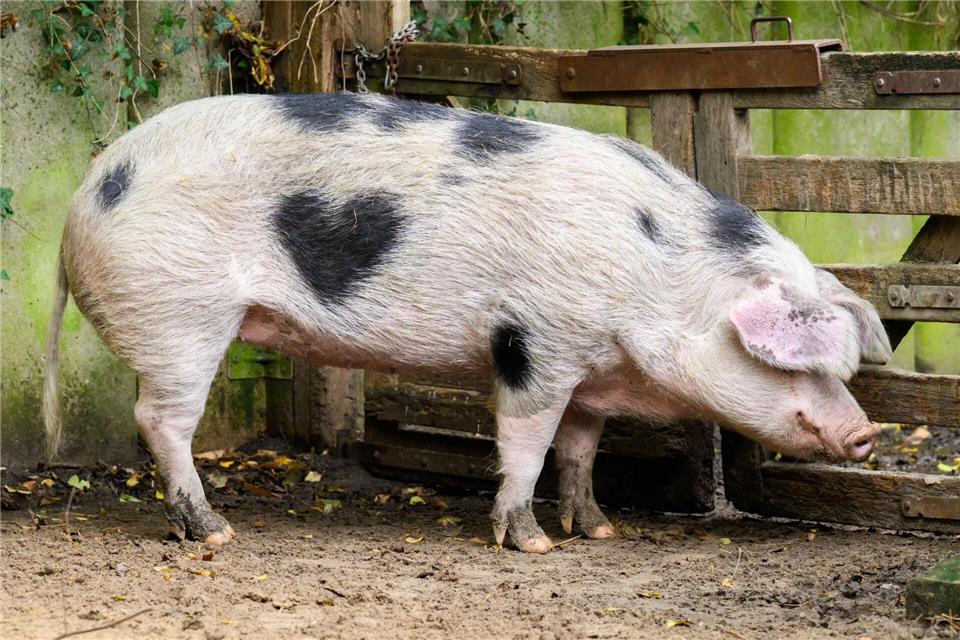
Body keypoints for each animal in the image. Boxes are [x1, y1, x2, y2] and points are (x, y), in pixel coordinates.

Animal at [44, 92, 891, 553]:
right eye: (800, 362)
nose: (866, 434)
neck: (657, 274)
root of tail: (84, 196)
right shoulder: (536, 342)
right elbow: (526, 444)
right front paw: (535, 544)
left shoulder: (589, 368)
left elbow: (580, 449)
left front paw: (598, 530)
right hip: (180, 317)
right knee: (160, 420)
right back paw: (214, 531)